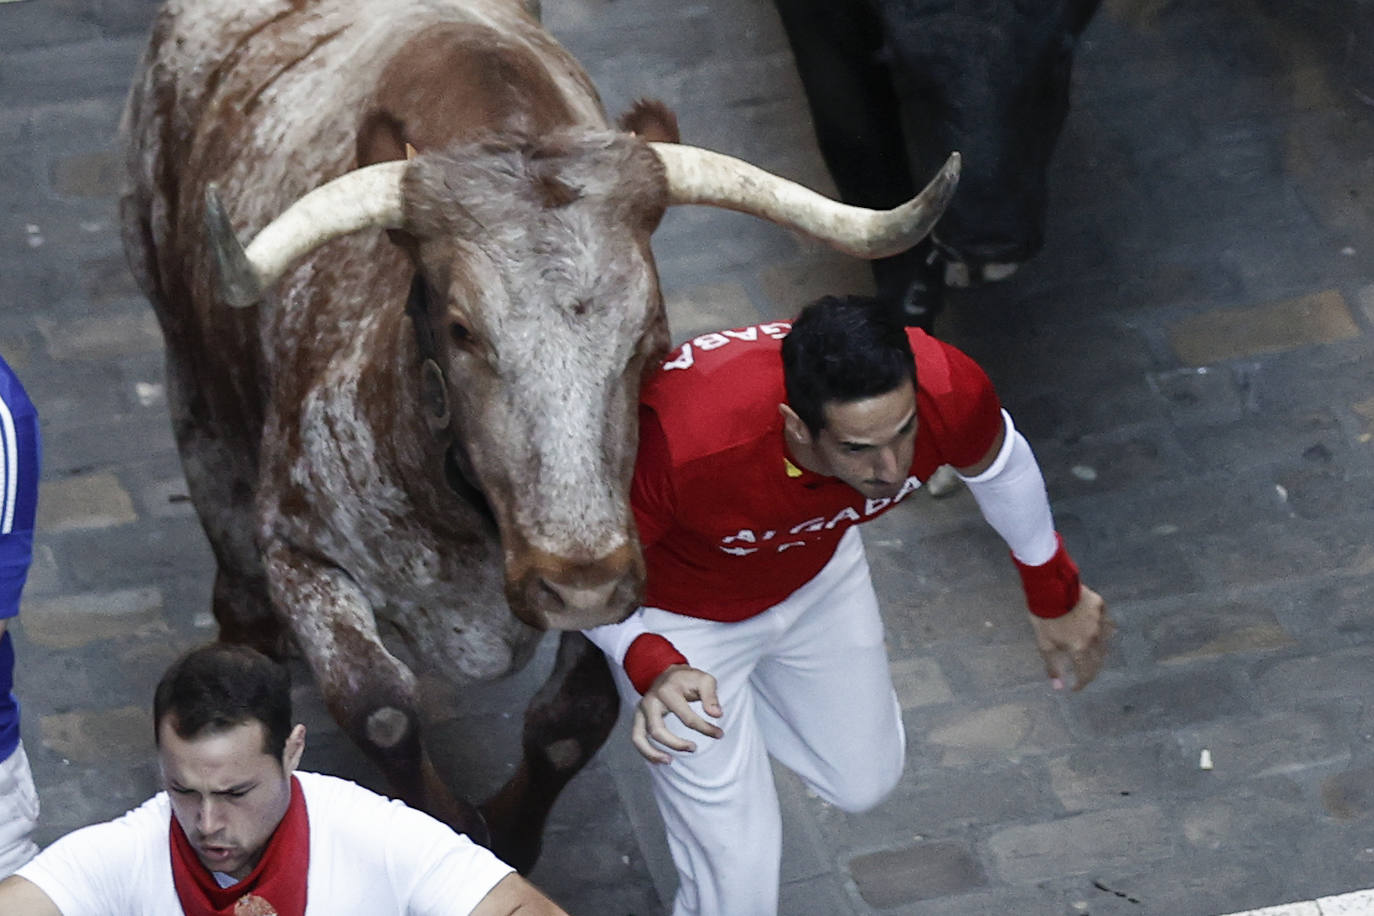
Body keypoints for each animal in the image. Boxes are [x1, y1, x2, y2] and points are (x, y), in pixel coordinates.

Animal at [115, 0, 956, 873]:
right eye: (460, 330)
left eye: (650, 336)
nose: (576, 581)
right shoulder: (299, 547)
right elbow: (382, 708)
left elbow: (574, 714)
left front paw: (510, 837)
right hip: (184, 360)